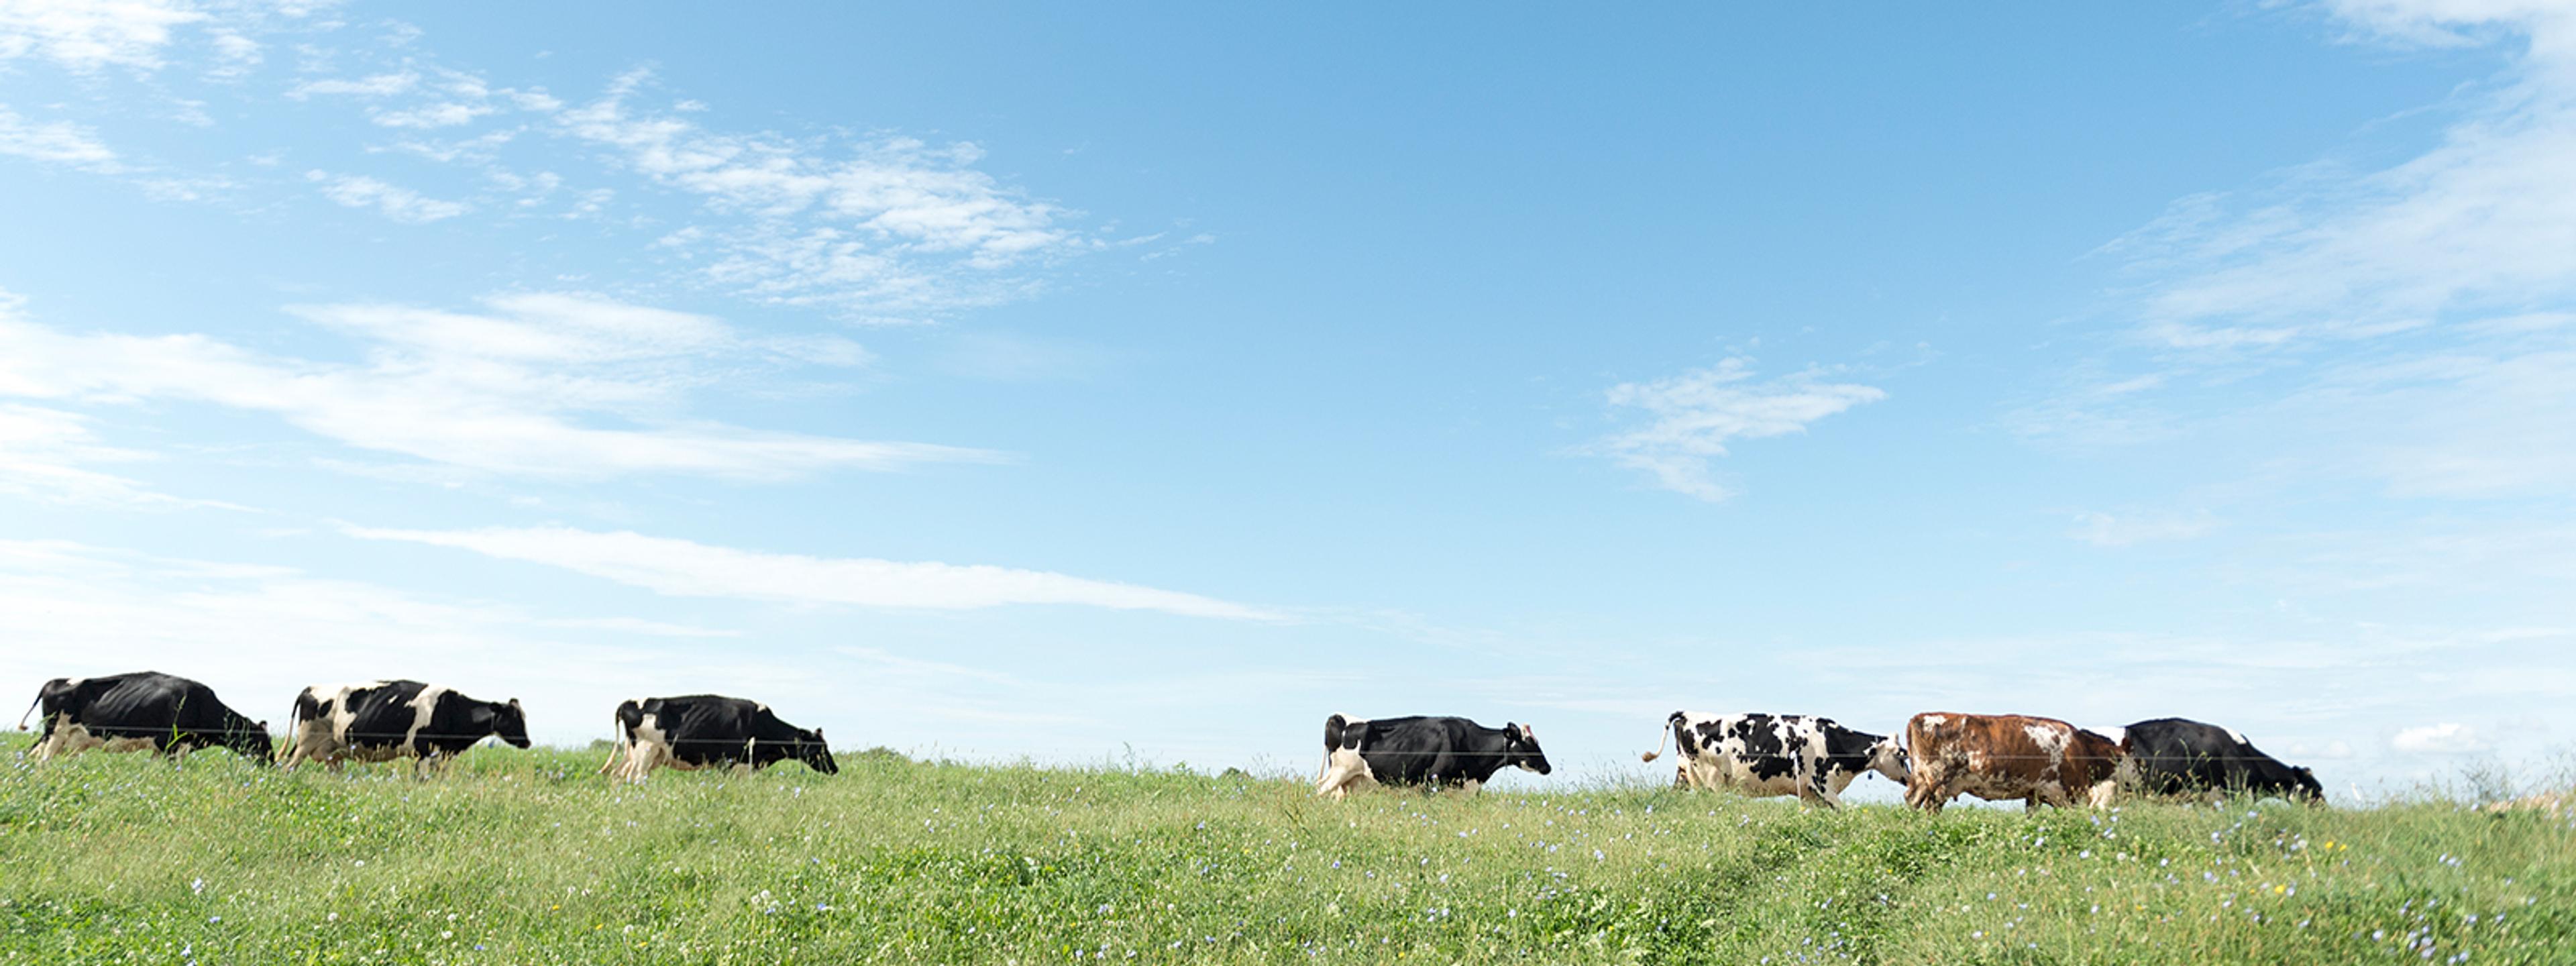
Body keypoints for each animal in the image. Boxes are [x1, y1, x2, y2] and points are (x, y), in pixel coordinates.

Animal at [17, 675, 270, 762]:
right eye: (263, 742)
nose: (272, 763)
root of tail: (53, 682)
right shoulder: (171, 745)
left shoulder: (164, 748)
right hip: (56, 733)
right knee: (43, 760)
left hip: (59, 737)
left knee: (32, 753)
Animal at [1308, 710, 1546, 804]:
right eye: (1529, 742)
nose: (1548, 767)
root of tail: (1338, 717)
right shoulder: (1433, 781)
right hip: (1340, 772)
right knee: (1319, 791)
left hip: (1351, 781)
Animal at [1638, 710, 1906, 808]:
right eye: (1902, 755)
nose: (1909, 779)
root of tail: (1687, 714)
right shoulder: (1823, 786)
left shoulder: (1810, 795)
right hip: (1711, 779)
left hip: (1685, 775)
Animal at [1896, 716, 2133, 814]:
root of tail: (1921, 717)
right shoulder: (2065, 793)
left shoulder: (2034, 794)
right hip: (1937, 779)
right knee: (1926, 804)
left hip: (1924, 779)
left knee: (1915, 801)